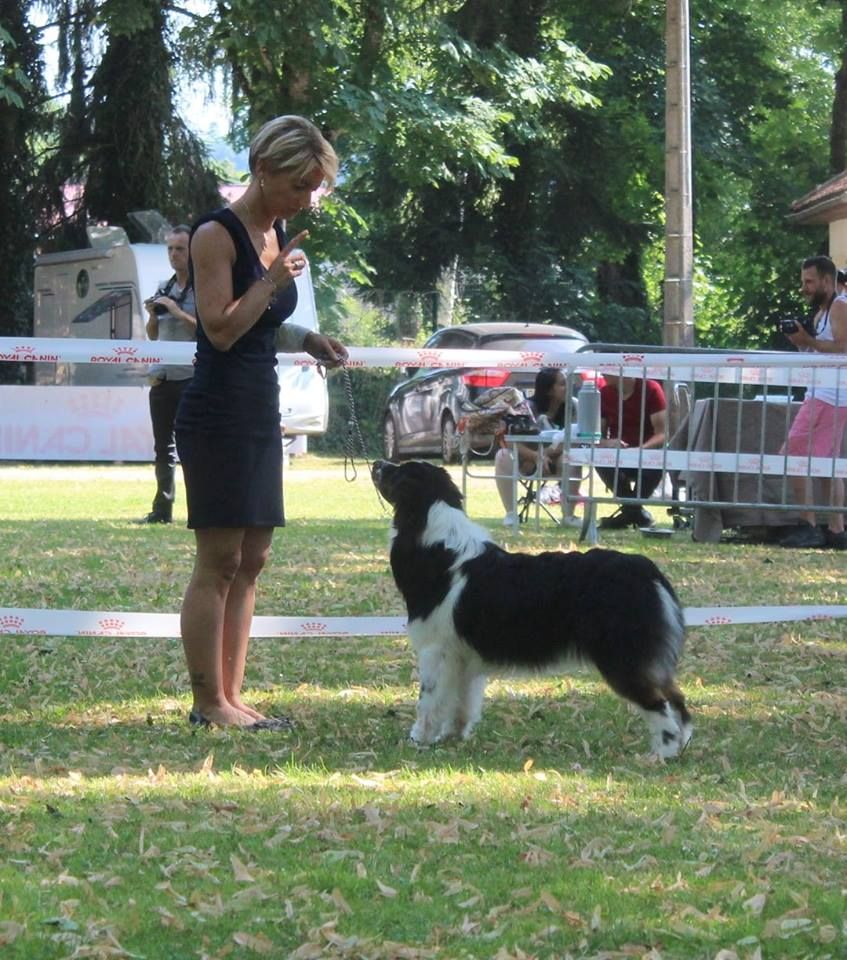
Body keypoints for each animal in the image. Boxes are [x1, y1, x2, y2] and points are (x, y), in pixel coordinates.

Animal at [374, 462, 692, 760]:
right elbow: (462, 703)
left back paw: (661, 754)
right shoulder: (461, 657)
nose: (377, 464)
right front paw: (453, 735)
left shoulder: (435, 651)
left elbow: (428, 701)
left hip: (622, 658)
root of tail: (646, 570)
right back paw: (681, 746)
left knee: (659, 705)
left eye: (399, 472)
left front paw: (418, 739)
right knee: (677, 700)